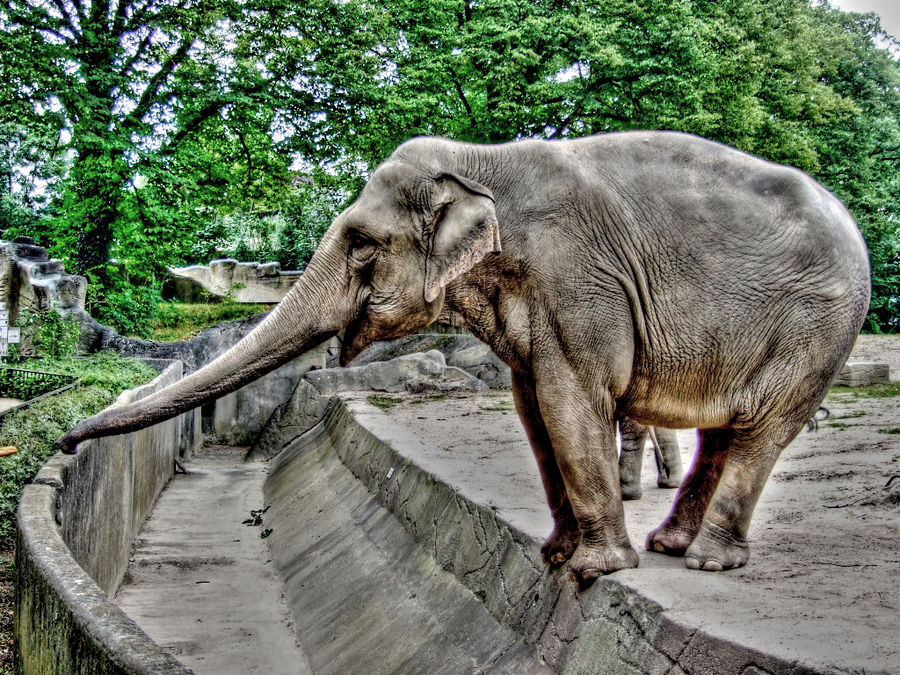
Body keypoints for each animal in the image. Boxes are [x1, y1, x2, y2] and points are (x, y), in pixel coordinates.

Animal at [58, 131, 872, 580]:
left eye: (362, 245)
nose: (64, 440)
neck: (481, 164)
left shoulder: (579, 278)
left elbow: (571, 397)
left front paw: (593, 568)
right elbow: (534, 405)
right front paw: (554, 556)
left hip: (817, 327)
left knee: (763, 429)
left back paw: (706, 559)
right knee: (726, 431)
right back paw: (673, 544)